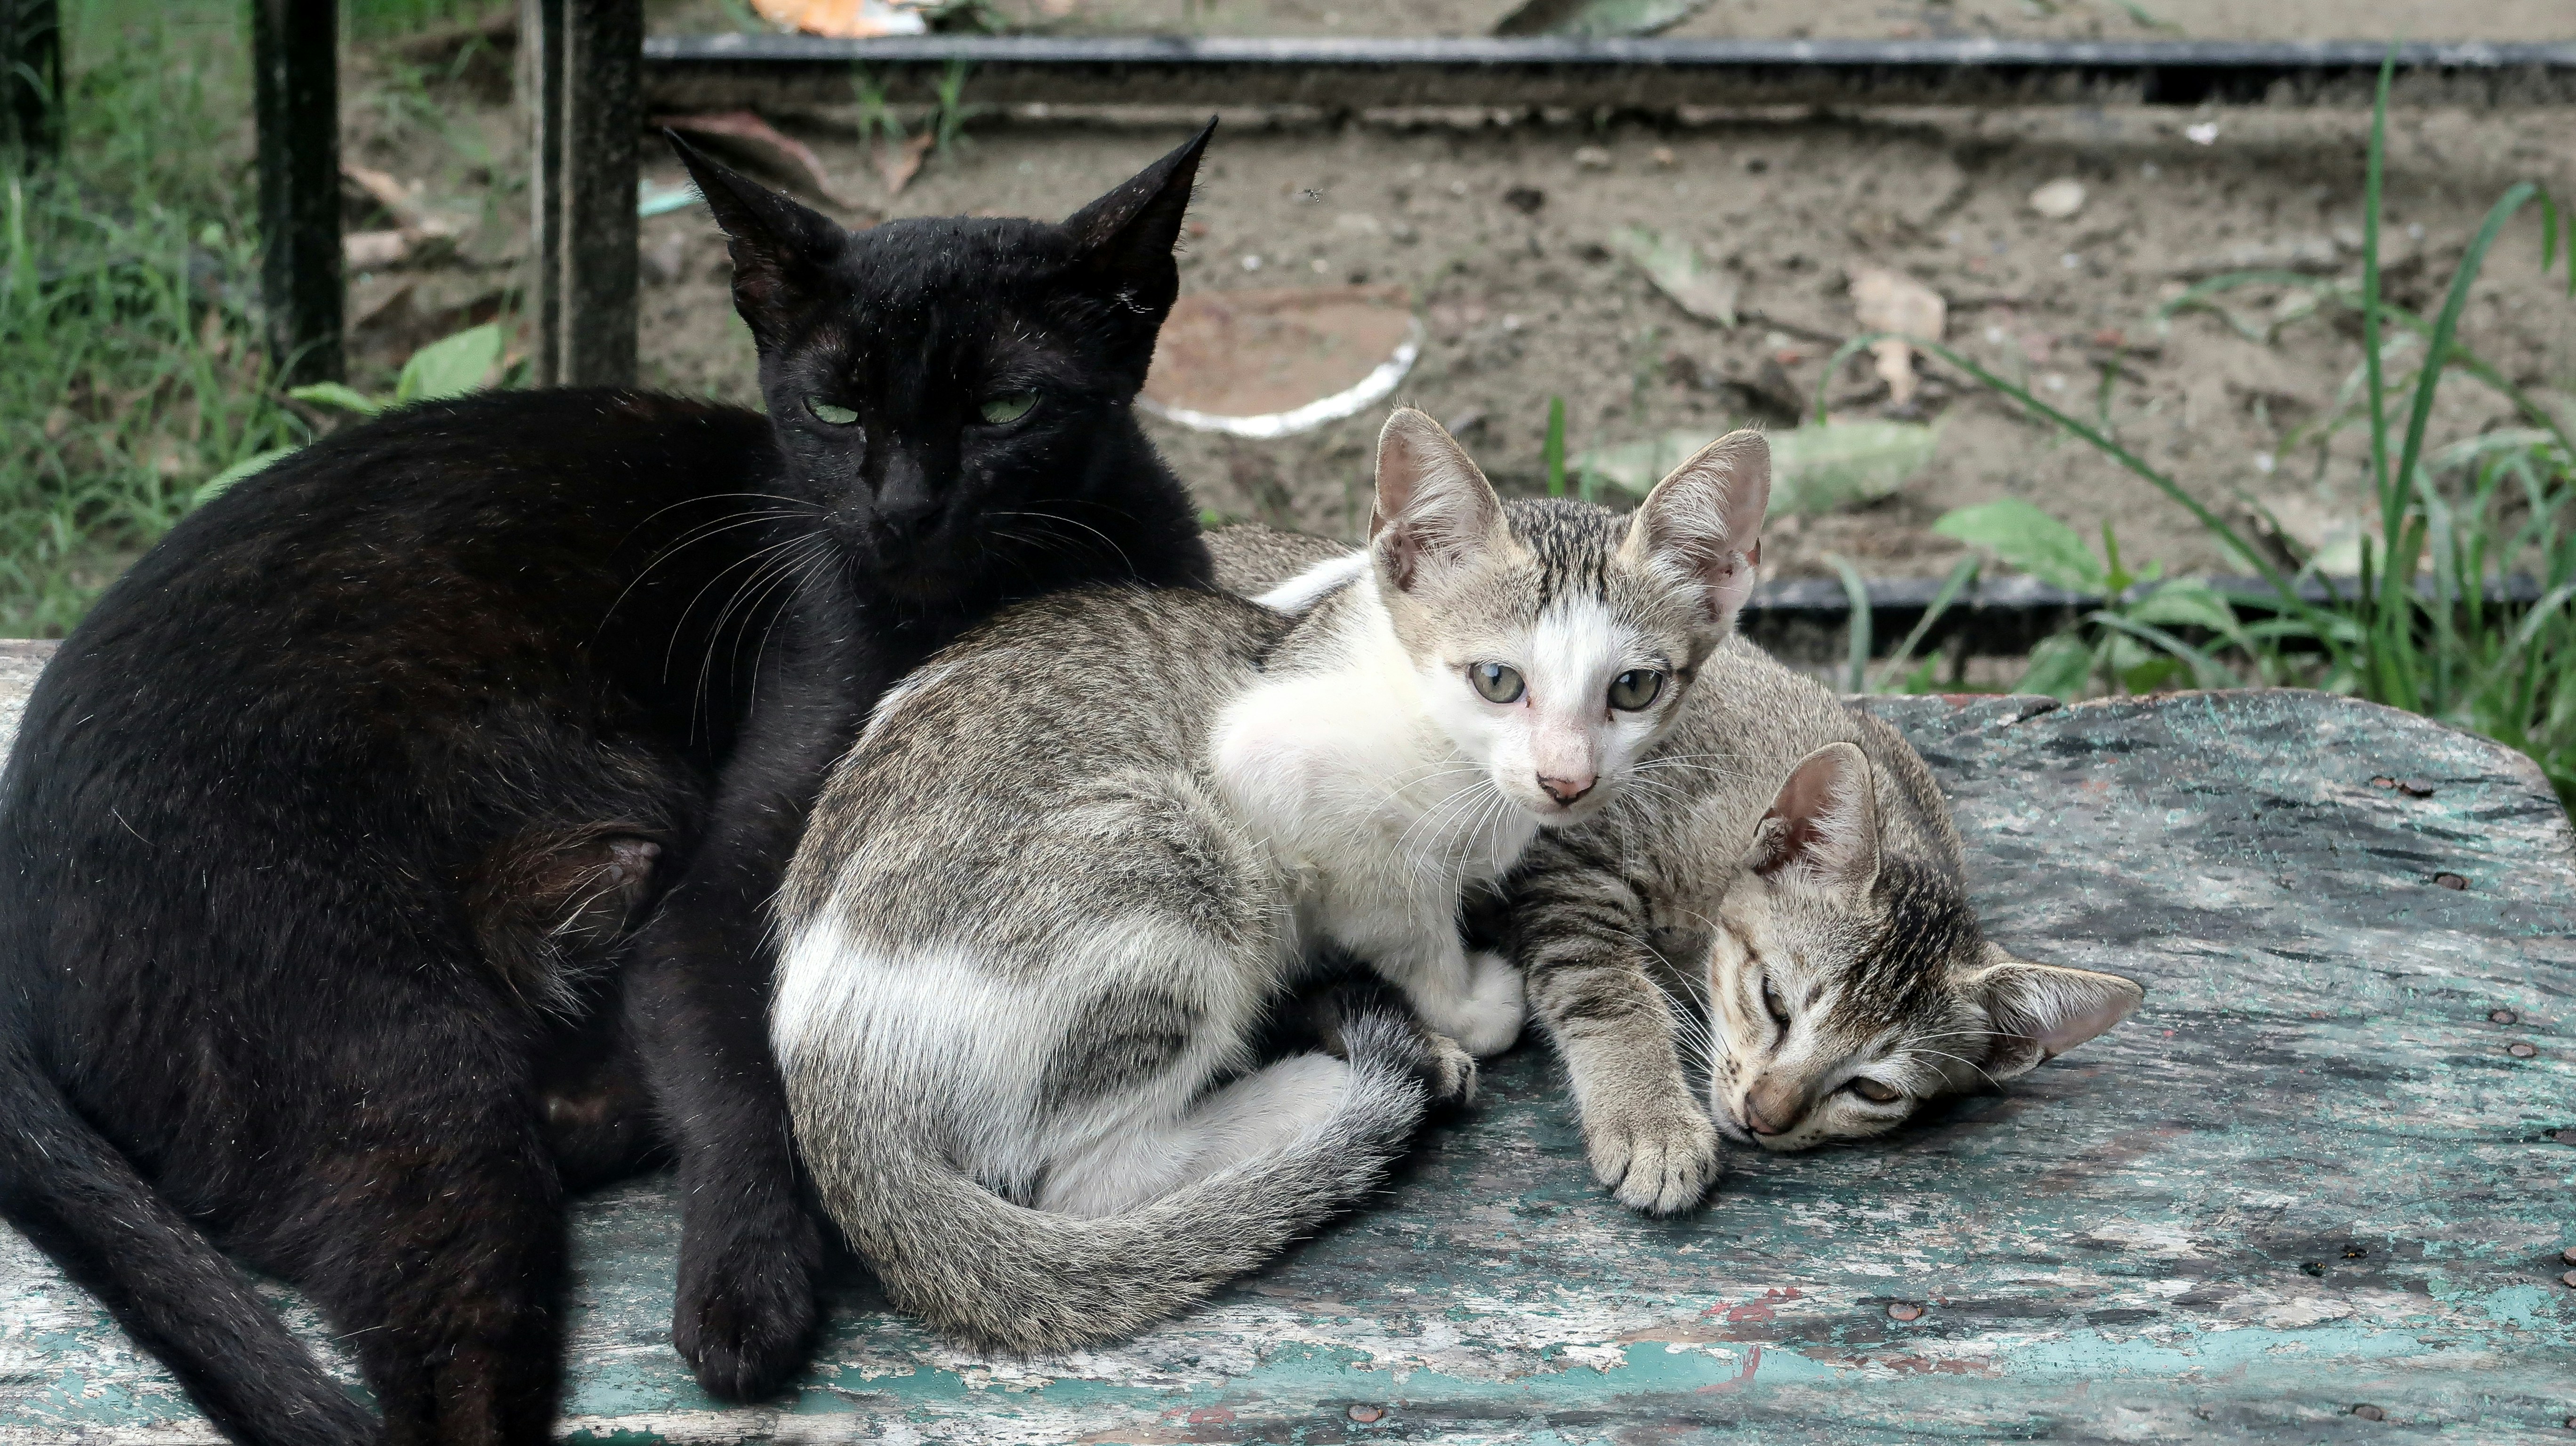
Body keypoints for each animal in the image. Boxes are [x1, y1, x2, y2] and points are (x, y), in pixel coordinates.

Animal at [0, 128, 1217, 1444]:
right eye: (835, 405)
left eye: (1005, 406)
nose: (903, 508)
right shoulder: (721, 882)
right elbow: (744, 1079)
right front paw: (746, 1286)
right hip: (402, 1074)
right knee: (452, 1357)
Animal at [768, 410, 1769, 1352]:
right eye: (1497, 679)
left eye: (1634, 688)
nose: (1567, 779)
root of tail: (829, 1073)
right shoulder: (1283, 775)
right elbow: (1405, 915)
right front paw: (1463, 1000)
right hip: (1172, 865)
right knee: (1091, 1178)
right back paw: (1315, 1091)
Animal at [1207, 539, 2144, 1219]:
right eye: (1775, 1001)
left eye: (1874, 1089)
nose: (1766, 1115)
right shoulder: (1559, 854)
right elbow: (1607, 988)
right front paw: (1650, 1119)